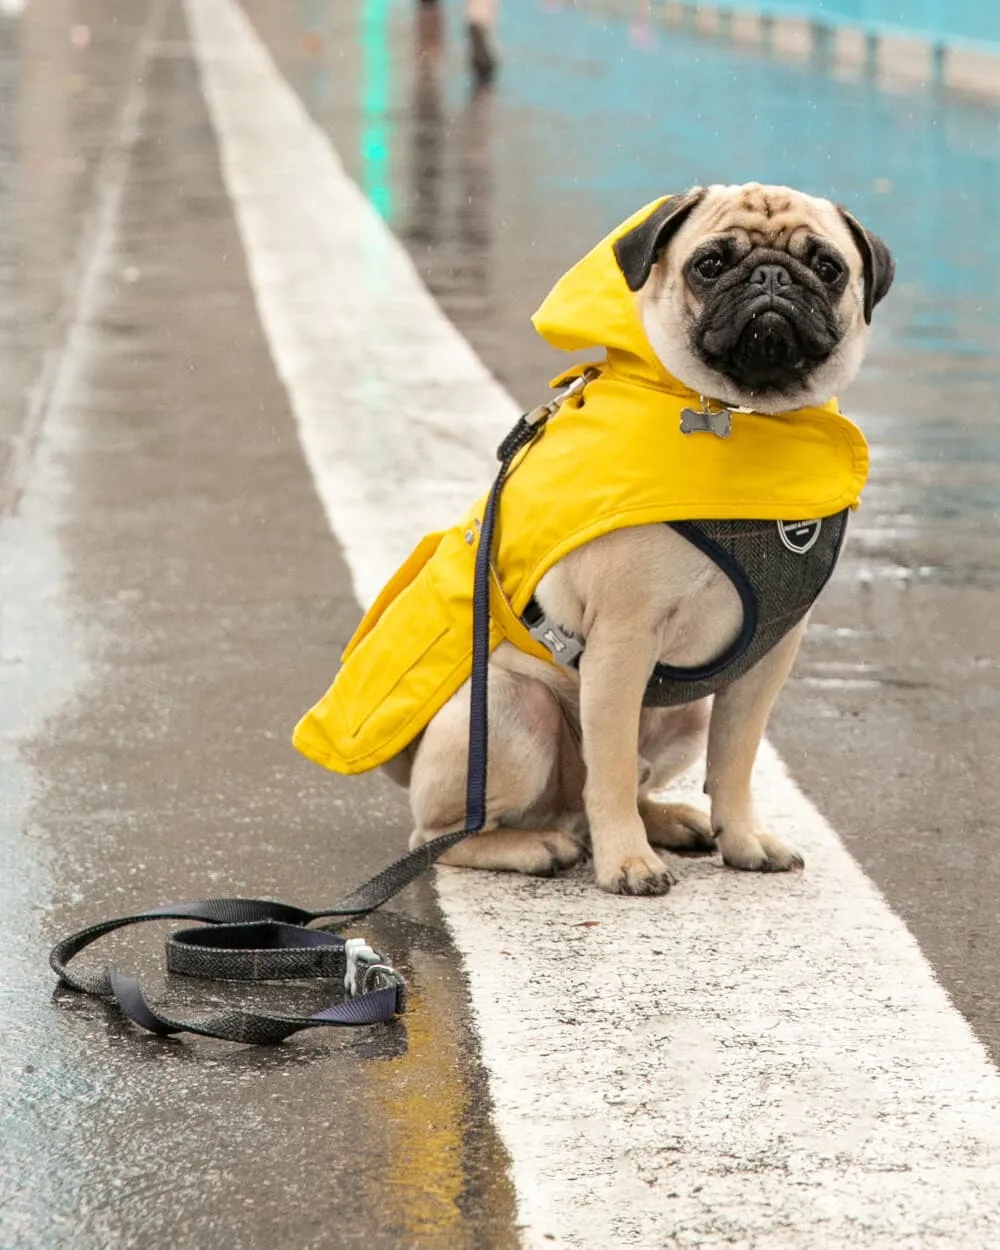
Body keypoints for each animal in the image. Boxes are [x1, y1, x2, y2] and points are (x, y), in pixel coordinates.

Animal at [292, 181, 895, 895]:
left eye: (827, 267)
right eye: (710, 265)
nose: (771, 277)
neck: (746, 417)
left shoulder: (769, 655)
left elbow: (734, 760)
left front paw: (742, 840)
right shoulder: (622, 640)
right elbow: (608, 770)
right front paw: (627, 864)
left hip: (684, 716)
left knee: (623, 787)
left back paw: (668, 821)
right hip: (512, 711)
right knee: (449, 835)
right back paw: (539, 845)